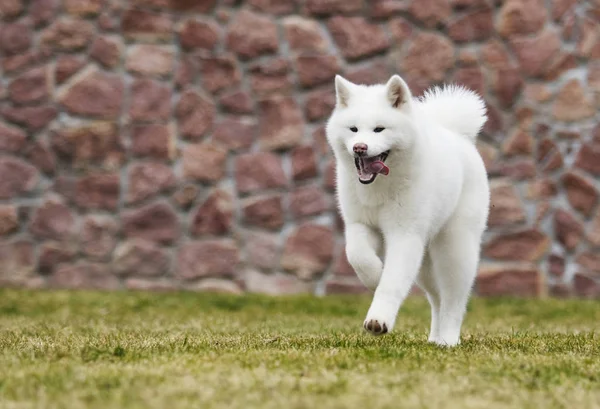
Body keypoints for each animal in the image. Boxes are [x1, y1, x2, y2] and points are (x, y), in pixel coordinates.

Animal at [326, 74, 490, 344]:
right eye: (353, 129)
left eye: (379, 129)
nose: (360, 147)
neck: (380, 187)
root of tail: (459, 136)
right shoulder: (360, 225)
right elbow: (358, 257)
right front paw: (375, 276)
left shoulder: (405, 236)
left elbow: (392, 283)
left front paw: (378, 320)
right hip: (425, 262)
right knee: (437, 299)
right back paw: (435, 340)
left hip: (454, 250)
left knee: (453, 300)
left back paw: (448, 340)